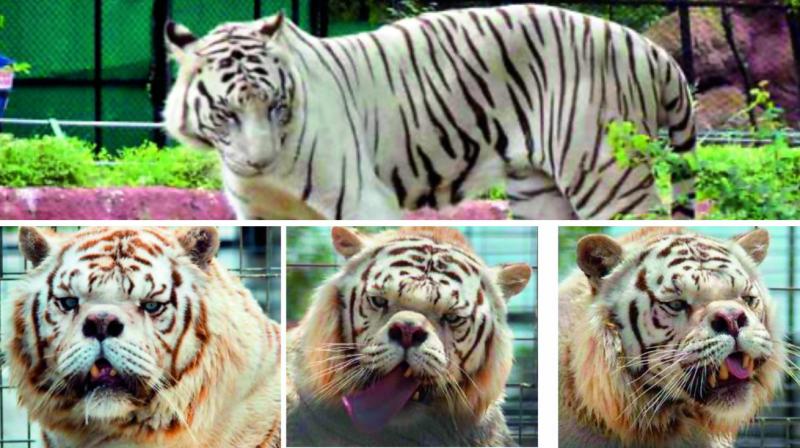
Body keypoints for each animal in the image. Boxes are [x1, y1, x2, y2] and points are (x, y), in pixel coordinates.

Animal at [164, 3, 692, 220]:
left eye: (276, 106)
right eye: (226, 113)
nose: (260, 160)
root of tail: (648, 48)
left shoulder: (364, 201)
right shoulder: (260, 213)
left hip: (607, 175)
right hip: (539, 189)